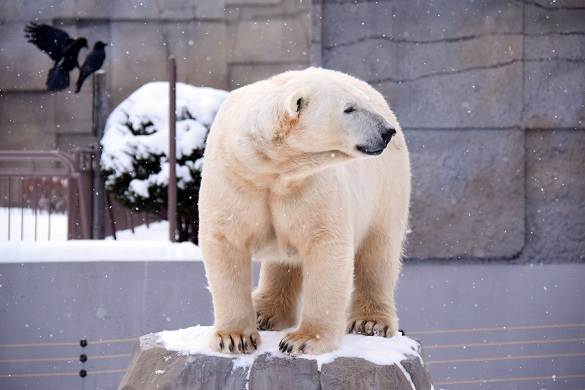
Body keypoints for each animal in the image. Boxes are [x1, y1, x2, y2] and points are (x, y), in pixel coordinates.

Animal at [198, 68, 408, 356]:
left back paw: (371, 322)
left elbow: (326, 246)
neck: (270, 169)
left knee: (378, 249)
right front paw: (234, 338)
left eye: (363, 103)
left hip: (386, 187)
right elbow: (225, 241)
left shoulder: (311, 184)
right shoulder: (233, 178)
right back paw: (264, 311)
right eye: (349, 108)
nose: (387, 131)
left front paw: (302, 340)